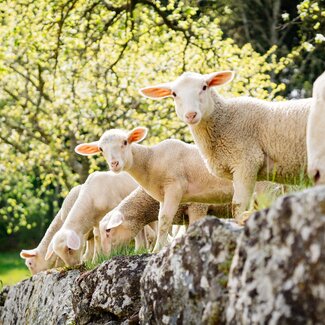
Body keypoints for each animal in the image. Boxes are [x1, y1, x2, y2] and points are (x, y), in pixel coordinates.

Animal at [140, 71, 312, 221]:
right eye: (174, 94)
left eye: (204, 87)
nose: (191, 115)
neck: (224, 121)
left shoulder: (246, 161)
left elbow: (238, 205)